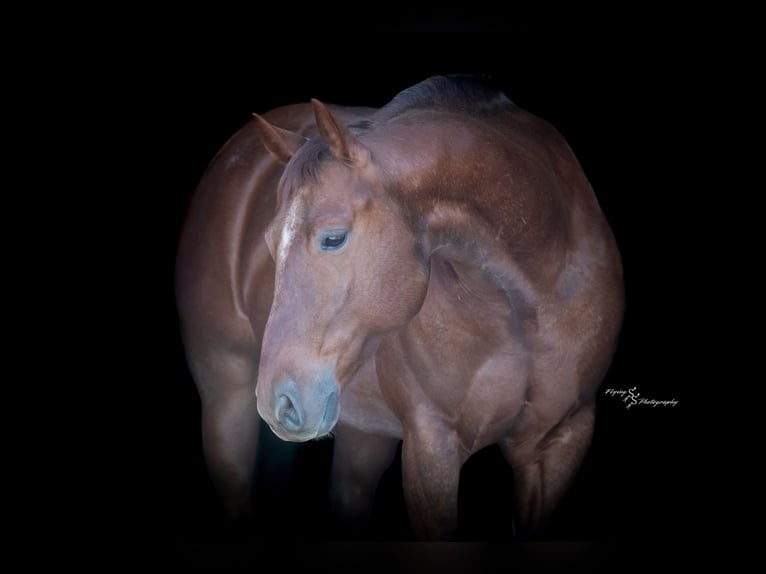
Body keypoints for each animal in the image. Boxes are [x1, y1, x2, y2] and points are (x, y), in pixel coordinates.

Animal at [175, 75, 624, 540]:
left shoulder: (561, 441)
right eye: (268, 240)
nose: (278, 402)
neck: (526, 308)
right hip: (226, 400)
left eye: (333, 238)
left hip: (364, 434)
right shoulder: (432, 445)